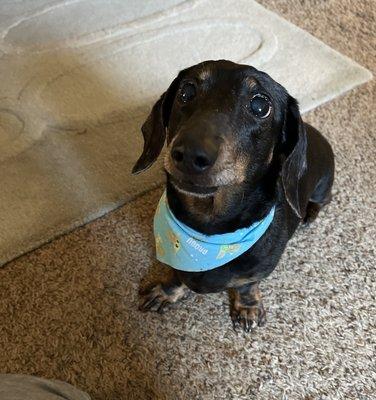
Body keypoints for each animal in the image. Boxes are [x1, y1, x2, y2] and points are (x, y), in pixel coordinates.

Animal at [132, 60, 334, 334]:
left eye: (260, 106)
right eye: (187, 91)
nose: (190, 154)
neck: (208, 232)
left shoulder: (256, 272)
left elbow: (246, 285)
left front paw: (247, 307)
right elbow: (175, 275)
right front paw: (166, 292)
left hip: (323, 186)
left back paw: (310, 213)